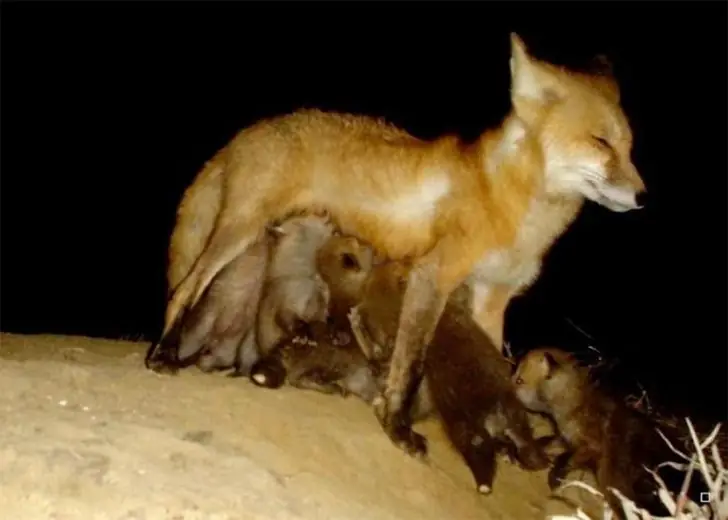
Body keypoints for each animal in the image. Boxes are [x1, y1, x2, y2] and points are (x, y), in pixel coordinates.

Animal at [150, 33, 647, 456]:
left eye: (628, 147)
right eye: (600, 142)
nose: (643, 196)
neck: (508, 202)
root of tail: (250, 130)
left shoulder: (491, 299)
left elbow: (490, 371)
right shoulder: (433, 276)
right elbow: (410, 367)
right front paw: (397, 426)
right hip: (239, 232)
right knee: (185, 290)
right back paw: (163, 355)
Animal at [512, 348, 708, 519]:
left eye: (519, 380)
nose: (507, 384)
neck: (575, 408)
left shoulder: (592, 446)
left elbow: (565, 460)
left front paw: (555, 477)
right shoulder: (567, 439)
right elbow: (545, 442)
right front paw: (525, 453)